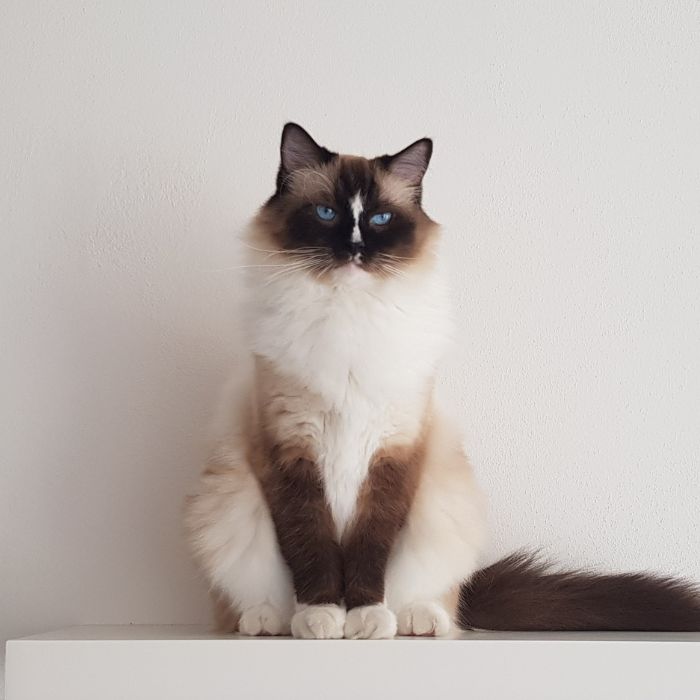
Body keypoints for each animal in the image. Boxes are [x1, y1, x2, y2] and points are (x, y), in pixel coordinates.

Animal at [185, 123, 700, 636]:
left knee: (441, 604)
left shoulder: (395, 450)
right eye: (327, 213)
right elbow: (311, 546)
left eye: (380, 219)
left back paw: (415, 619)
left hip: (443, 499)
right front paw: (323, 616)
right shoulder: (291, 449)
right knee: (248, 598)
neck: (348, 314)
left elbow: (370, 550)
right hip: (231, 503)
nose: (354, 250)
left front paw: (364, 616)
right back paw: (269, 619)